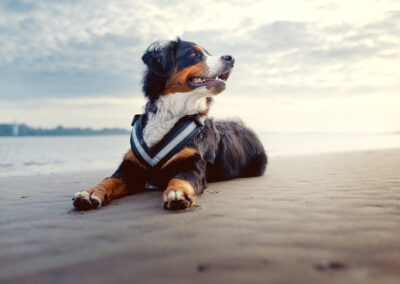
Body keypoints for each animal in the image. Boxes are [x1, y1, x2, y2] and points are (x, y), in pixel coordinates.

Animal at [73, 37, 268, 210]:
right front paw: (90, 193)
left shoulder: (192, 162)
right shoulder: (130, 166)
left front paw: (176, 193)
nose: (231, 58)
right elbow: (109, 180)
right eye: (193, 53)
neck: (171, 115)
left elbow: (180, 178)